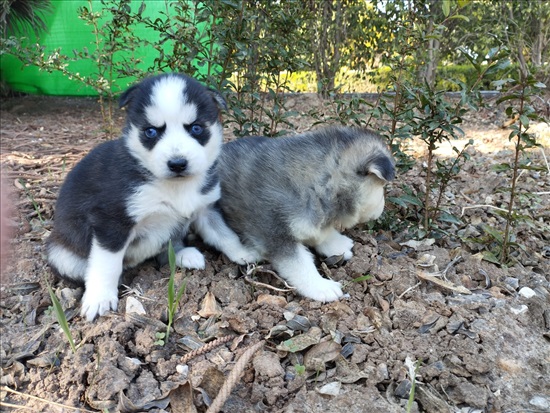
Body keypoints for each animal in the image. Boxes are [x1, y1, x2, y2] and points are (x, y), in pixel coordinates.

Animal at [47, 72, 254, 320]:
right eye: (151, 131)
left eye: (195, 128)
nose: (177, 164)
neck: (174, 186)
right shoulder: (111, 220)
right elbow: (107, 264)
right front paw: (100, 298)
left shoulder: (205, 209)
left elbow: (225, 235)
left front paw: (244, 253)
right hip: (61, 255)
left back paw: (184, 254)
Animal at [197, 125, 396, 300]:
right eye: (382, 188)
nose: (382, 210)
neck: (316, 183)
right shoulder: (276, 235)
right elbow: (300, 265)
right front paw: (321, 286)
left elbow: (321, 232)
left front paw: (336, 243)